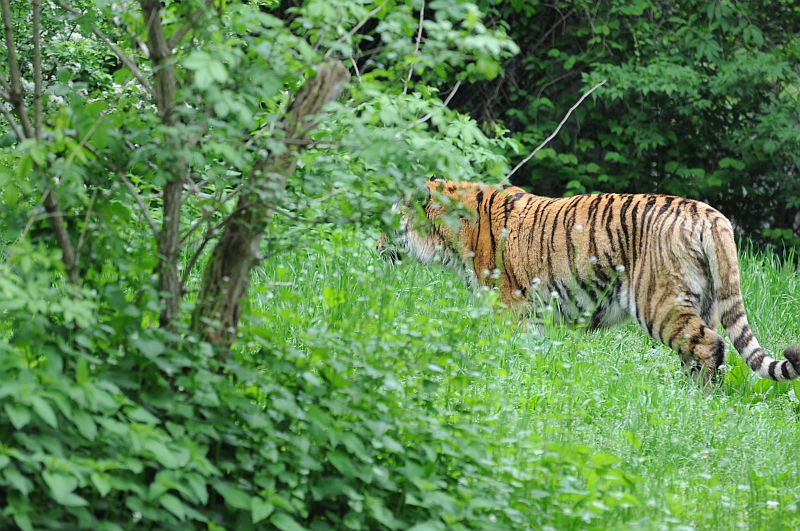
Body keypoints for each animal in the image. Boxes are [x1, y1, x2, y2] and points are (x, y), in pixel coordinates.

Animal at [377, 178, 800, 384]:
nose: (376, 246)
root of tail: (710, 214)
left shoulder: (509, 308)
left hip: (659, 302)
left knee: (709, 346)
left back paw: (699, 402)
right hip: (705, 301)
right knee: (700, 351)